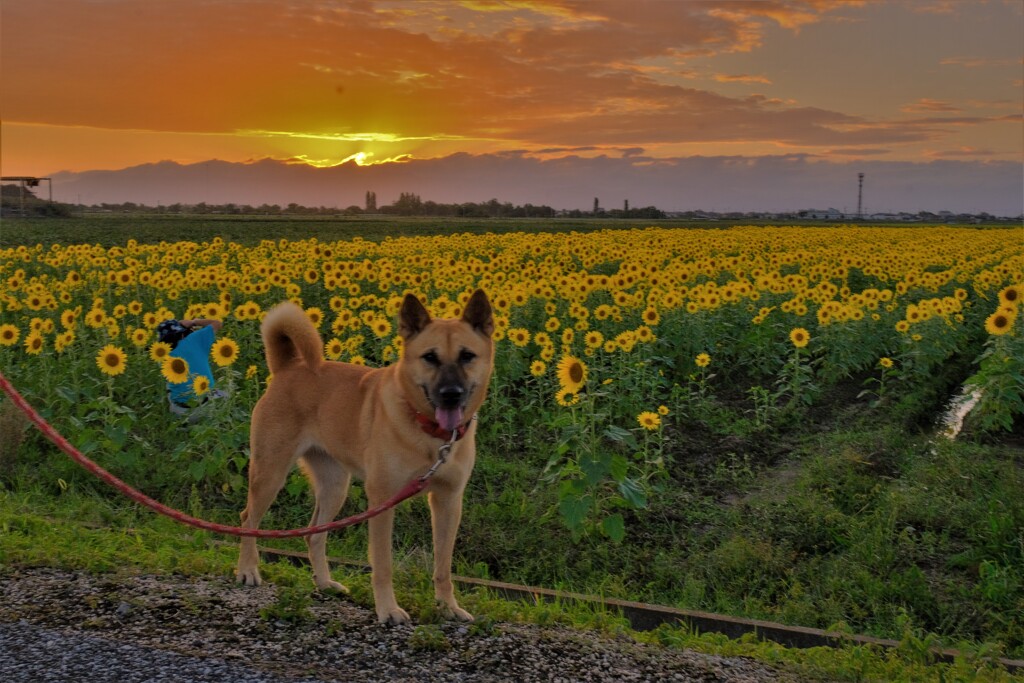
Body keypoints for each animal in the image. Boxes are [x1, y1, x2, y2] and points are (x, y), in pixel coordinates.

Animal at [239, 288, 495, 626]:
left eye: (467, 356)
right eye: (430, 357)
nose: (450, 394)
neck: (429, 434)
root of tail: (290, 366)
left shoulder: (448, 502)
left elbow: (443, 565)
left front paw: (447, 606)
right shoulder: (382, 499)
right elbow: (383, 565)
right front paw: (387, 609)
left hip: (335, 487)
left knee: (314, 535)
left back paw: (325, 582)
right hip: (270, 474)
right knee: (248, 519)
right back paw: (247, 570)